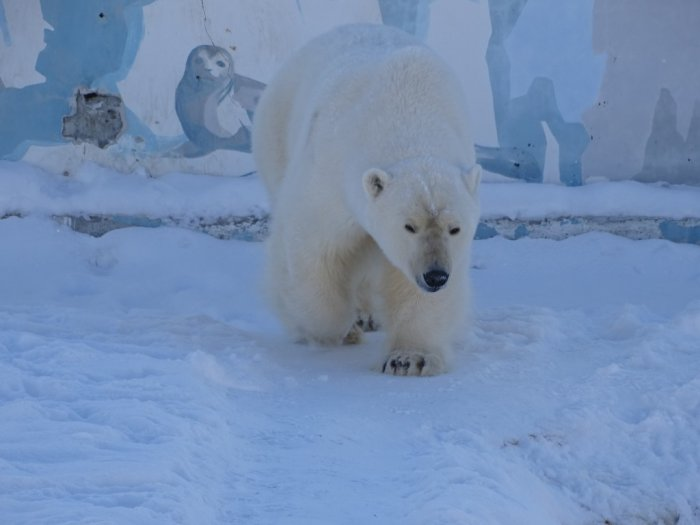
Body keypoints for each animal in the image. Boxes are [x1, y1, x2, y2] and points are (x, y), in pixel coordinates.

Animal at [253, 23, 482, 372]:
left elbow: (412, 286)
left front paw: (409, 358)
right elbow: (314, 250)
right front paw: (332, 328)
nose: (435, 275)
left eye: (455, 228)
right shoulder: (330, 173)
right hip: (276, 133)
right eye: (408, 226)